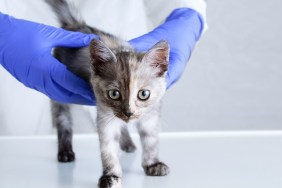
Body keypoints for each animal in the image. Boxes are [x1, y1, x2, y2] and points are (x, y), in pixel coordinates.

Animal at [46, 0, 170, 187]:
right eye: (114, 94)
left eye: (143, 94)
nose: (128, 112)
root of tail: (76, 24)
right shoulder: (105, 116)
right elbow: (108, 149)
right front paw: (111, 176)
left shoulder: (151, 116)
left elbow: (151, 140)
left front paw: (152, 164)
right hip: (59, 94)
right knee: (63, 120)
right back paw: (65, 152)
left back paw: (128, 143)